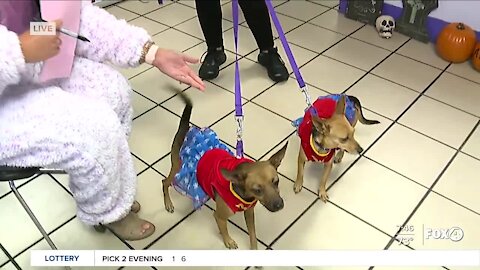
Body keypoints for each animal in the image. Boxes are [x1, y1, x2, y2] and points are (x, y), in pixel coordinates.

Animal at [161, 89, 288, 250]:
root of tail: (185, 131)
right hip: (176, 171)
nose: (279, 205)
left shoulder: (249, 213)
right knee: (164, 182)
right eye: (257, 189)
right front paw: (228, 240)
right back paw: (168, 203)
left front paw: (254, 248)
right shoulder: (219, 216)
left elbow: (252, 234)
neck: (244, 195)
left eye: (276, 182)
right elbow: (224, 229)